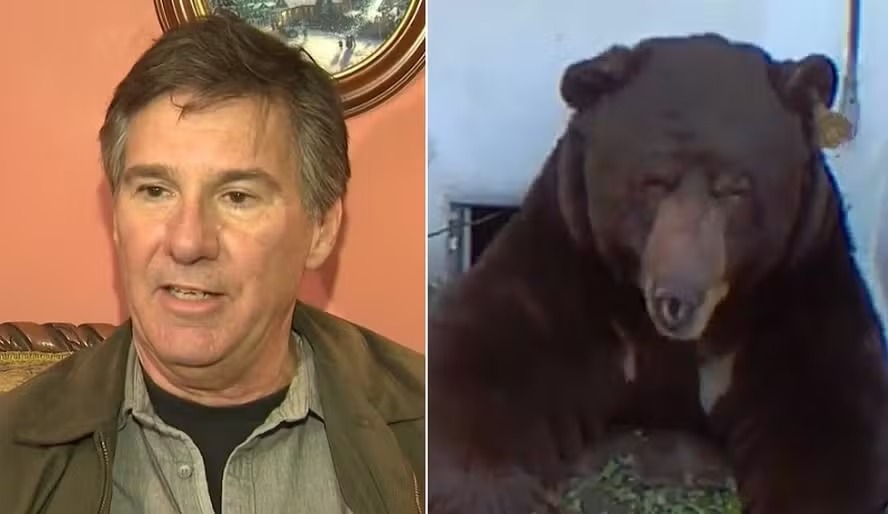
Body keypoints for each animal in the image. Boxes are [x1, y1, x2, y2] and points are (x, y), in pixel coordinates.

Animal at [428, 33, 888, 514]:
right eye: (653, 181)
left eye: (736, 189)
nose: (677, 300)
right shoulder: (567, 265)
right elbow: (475, 359)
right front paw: (499, 491)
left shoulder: (798, 287)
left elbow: (830, 423)